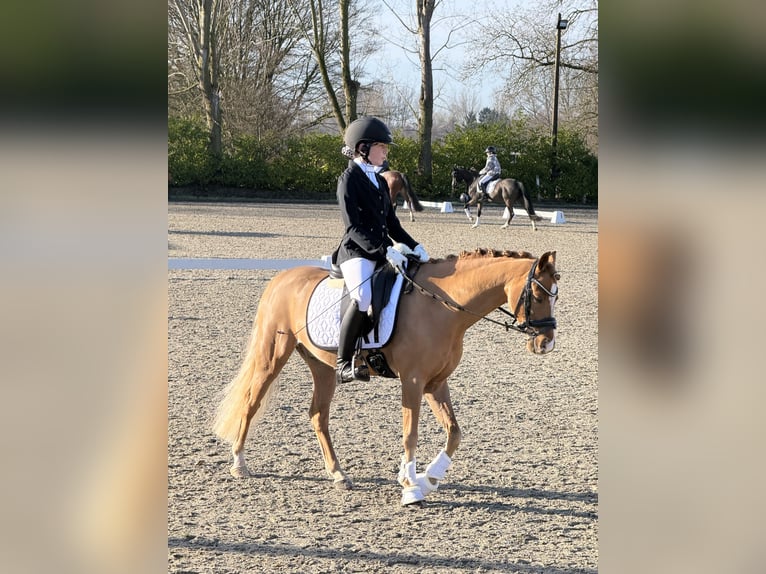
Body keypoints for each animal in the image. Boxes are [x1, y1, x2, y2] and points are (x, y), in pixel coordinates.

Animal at [212, 248, 560, 506]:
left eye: (555, 295)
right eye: (538, 294)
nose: (546, 344)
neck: (443, 307)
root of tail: (282, 278)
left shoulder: (436, 383)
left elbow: (454, 433)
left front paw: (430, 478)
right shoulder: (413, 381)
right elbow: (410, 434)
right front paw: (411, 487)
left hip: (322, 366)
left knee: (317, 415)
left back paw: (338, 474)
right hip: (272, 355)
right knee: (252, 402)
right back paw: (239, 463)